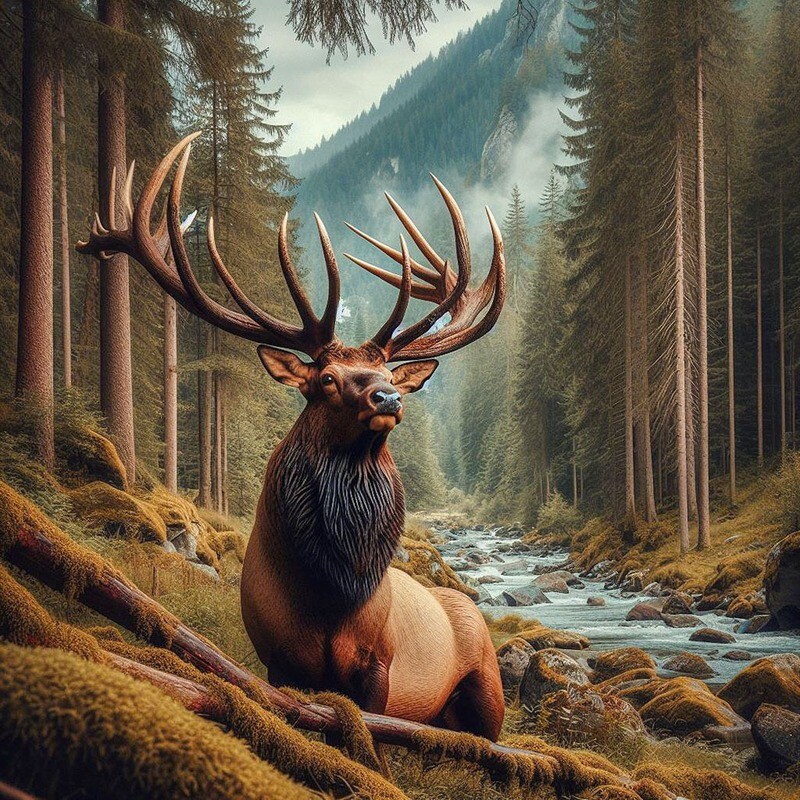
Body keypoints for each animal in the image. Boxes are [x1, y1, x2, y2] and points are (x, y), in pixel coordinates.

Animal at [78, 133, 507, 740]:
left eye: (385, 371)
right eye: (326, 379)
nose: (389, 398)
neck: (327, 594)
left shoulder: (378, 662)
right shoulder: (276, 659)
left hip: (489, 684)